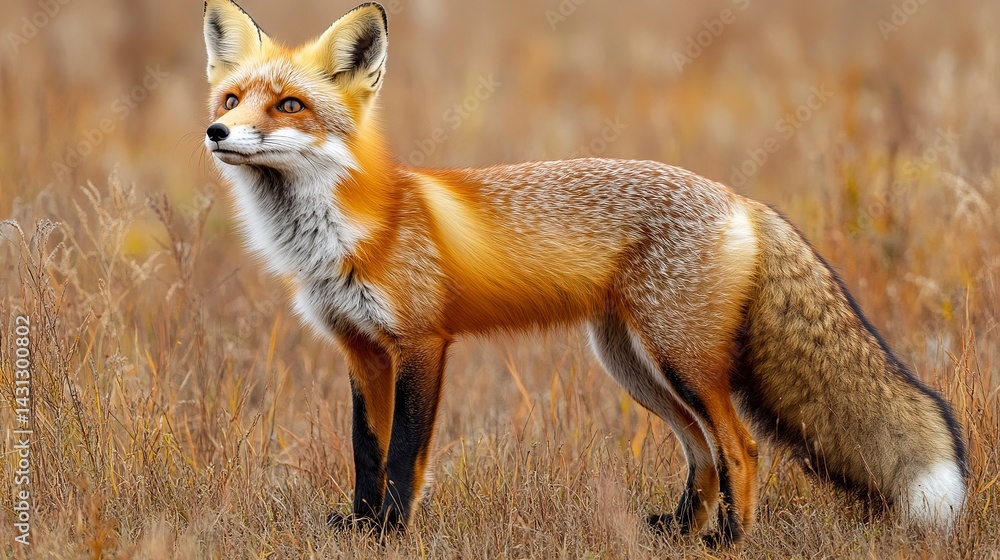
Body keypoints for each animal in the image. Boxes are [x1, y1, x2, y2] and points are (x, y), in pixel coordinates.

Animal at [201, 0, 967, 546]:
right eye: (232, 100)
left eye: (290, 105)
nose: (217, 133)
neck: (345, 234)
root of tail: (740, 198)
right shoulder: (361, 351)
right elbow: (367, 451)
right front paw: (361, 528)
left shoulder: (421, 344)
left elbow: (404, 456)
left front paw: (391, 532)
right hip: (633, 365)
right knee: (701, 451)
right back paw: (678, 531)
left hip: (681, 360)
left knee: (741, 447)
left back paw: (729, 540)